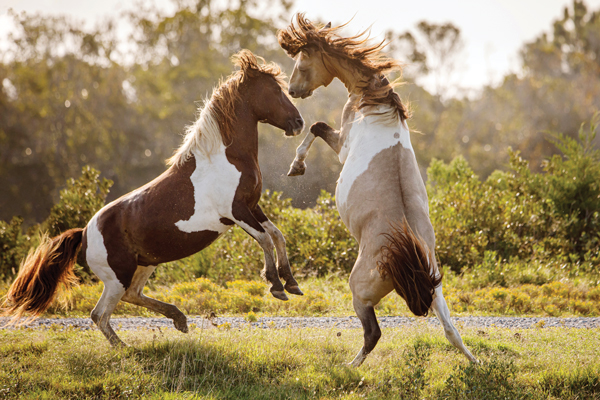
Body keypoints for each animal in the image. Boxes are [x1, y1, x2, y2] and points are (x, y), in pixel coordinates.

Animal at [3, 50, 304, 346]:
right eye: (274, 90)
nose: (299, 123)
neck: (225, 157)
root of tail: (84, 233)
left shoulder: (253, 206)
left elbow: (277, 235)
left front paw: (292, 283)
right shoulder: (236, 211)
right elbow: (265, 239)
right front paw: (276, 286)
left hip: (145, 264)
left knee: (131, 296)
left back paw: (178, 319)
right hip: (117, 277)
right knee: (100, 314)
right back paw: (126, 349)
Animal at [278, 14, 478, 366]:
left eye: (302, 62)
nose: (292, 90)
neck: (375, 104)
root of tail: (407, 261)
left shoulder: (342, 145)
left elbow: (315, 127)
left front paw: (296, 166)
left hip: (360, 294)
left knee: (373, 333)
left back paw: (349, 367)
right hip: (437, 292)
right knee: (450, 330)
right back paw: (475, 360)